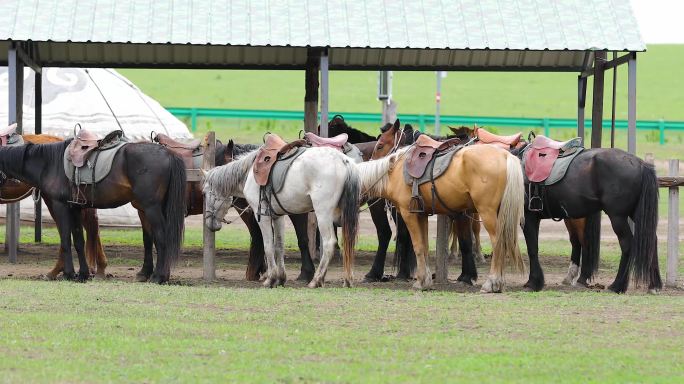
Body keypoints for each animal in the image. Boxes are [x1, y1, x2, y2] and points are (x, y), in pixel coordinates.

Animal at [203, 137, 360, 288]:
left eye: (205, 193)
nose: (209, 222)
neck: (249, 173)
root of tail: (344, 160)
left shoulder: (263, 217)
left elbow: (268, 246)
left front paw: (270, 279)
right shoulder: (277, 216)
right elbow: (279, 246)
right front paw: (280, 279)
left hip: (323, 213)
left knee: (329, 243)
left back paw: (316, 280)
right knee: (348, 242)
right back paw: (347, 280)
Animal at [358, 120, 524, 292]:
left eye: (380, 145)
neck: (400, 166)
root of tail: (505, 155)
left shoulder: (408, 214)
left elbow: (418, 245)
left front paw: (421, 282)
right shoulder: (422, 214)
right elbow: (424, 246)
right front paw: (425, 280)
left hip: (487, 212)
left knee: (497, 242)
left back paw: (491, 283)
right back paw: (499, 282)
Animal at [512, 141, 664, 294]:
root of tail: (641, 164)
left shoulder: (529, 218)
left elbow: (532, 248)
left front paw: (533, 282)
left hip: (618, 217)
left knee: (627, 244)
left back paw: (617, 285)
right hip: (634, 214)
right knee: (652, 240)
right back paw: (654, 285)